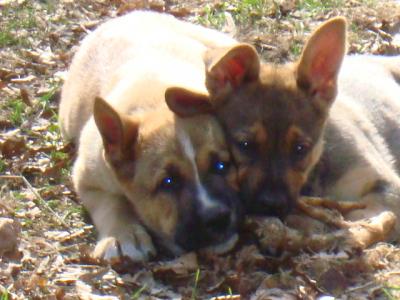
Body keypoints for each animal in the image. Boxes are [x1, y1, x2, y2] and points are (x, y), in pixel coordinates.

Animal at [57, 11, 242, 260]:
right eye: (168, 182)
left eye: (221, 166)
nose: (217, 218)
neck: (155, 101)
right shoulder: (87, 178)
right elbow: (110, 204)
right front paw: (123, 234)